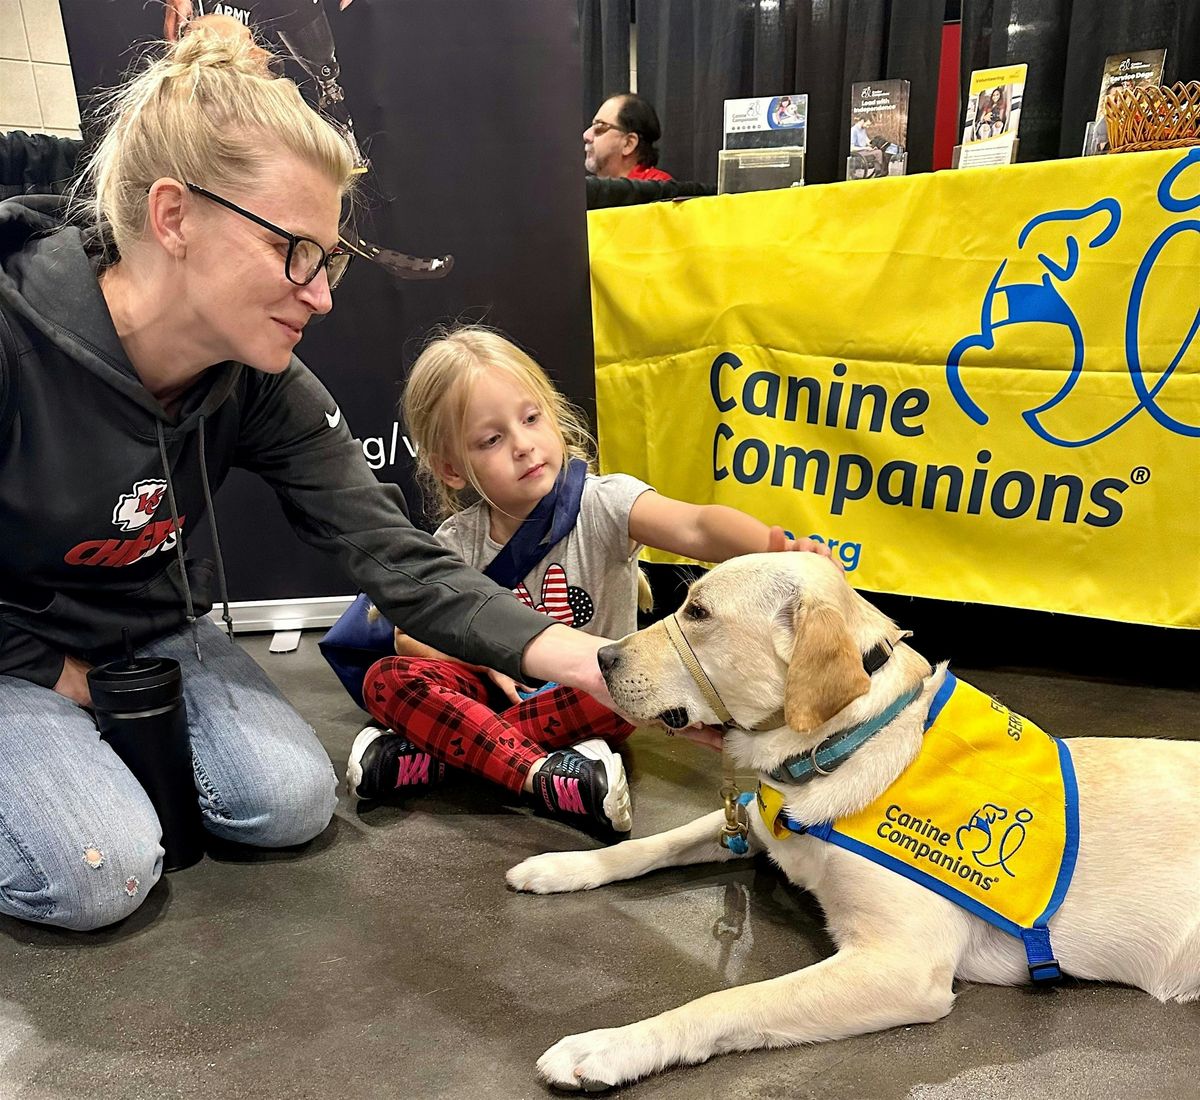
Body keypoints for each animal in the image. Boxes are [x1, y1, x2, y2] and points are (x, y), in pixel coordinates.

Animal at [506, 554, 1200, 1084]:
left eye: (699, 613)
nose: (601, 658)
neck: (844, 746)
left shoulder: (900, 966)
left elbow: (729, 999)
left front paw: (610, 1046)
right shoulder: (751, 823)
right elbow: (652, 843)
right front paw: (562, 866)